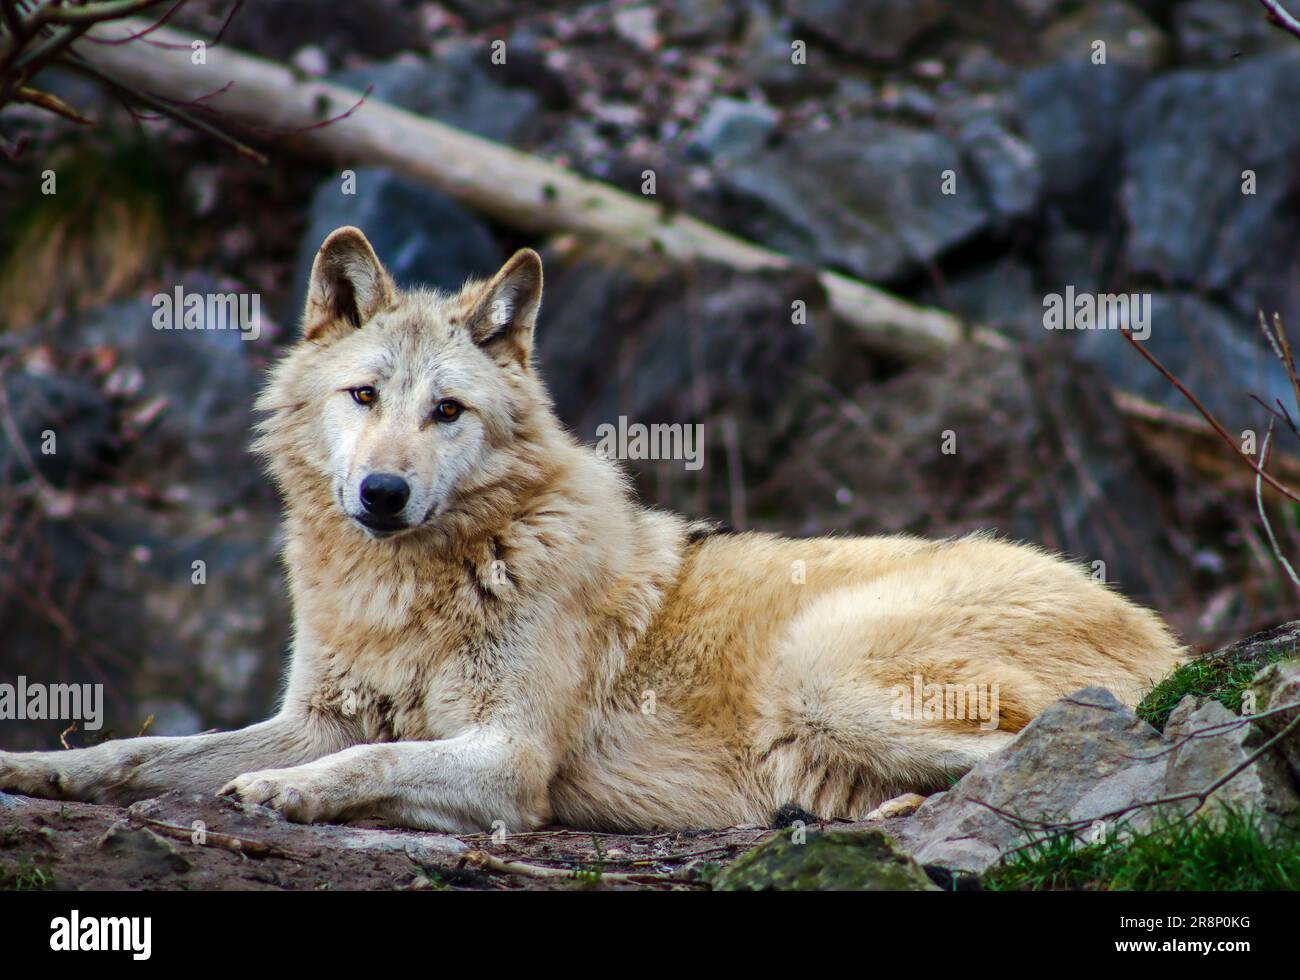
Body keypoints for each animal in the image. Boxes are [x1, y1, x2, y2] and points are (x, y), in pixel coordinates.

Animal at [0, 228, 1190, 831]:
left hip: (823, 672)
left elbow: (368, 758)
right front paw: (46, 768)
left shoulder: (510, 760)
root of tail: (1168, 637)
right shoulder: (313, 715)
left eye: (448, 411)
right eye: (362, 396)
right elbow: (151, 750)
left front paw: (288, 795)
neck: (408, 591)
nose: (382, 492)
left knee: (1049, 744)